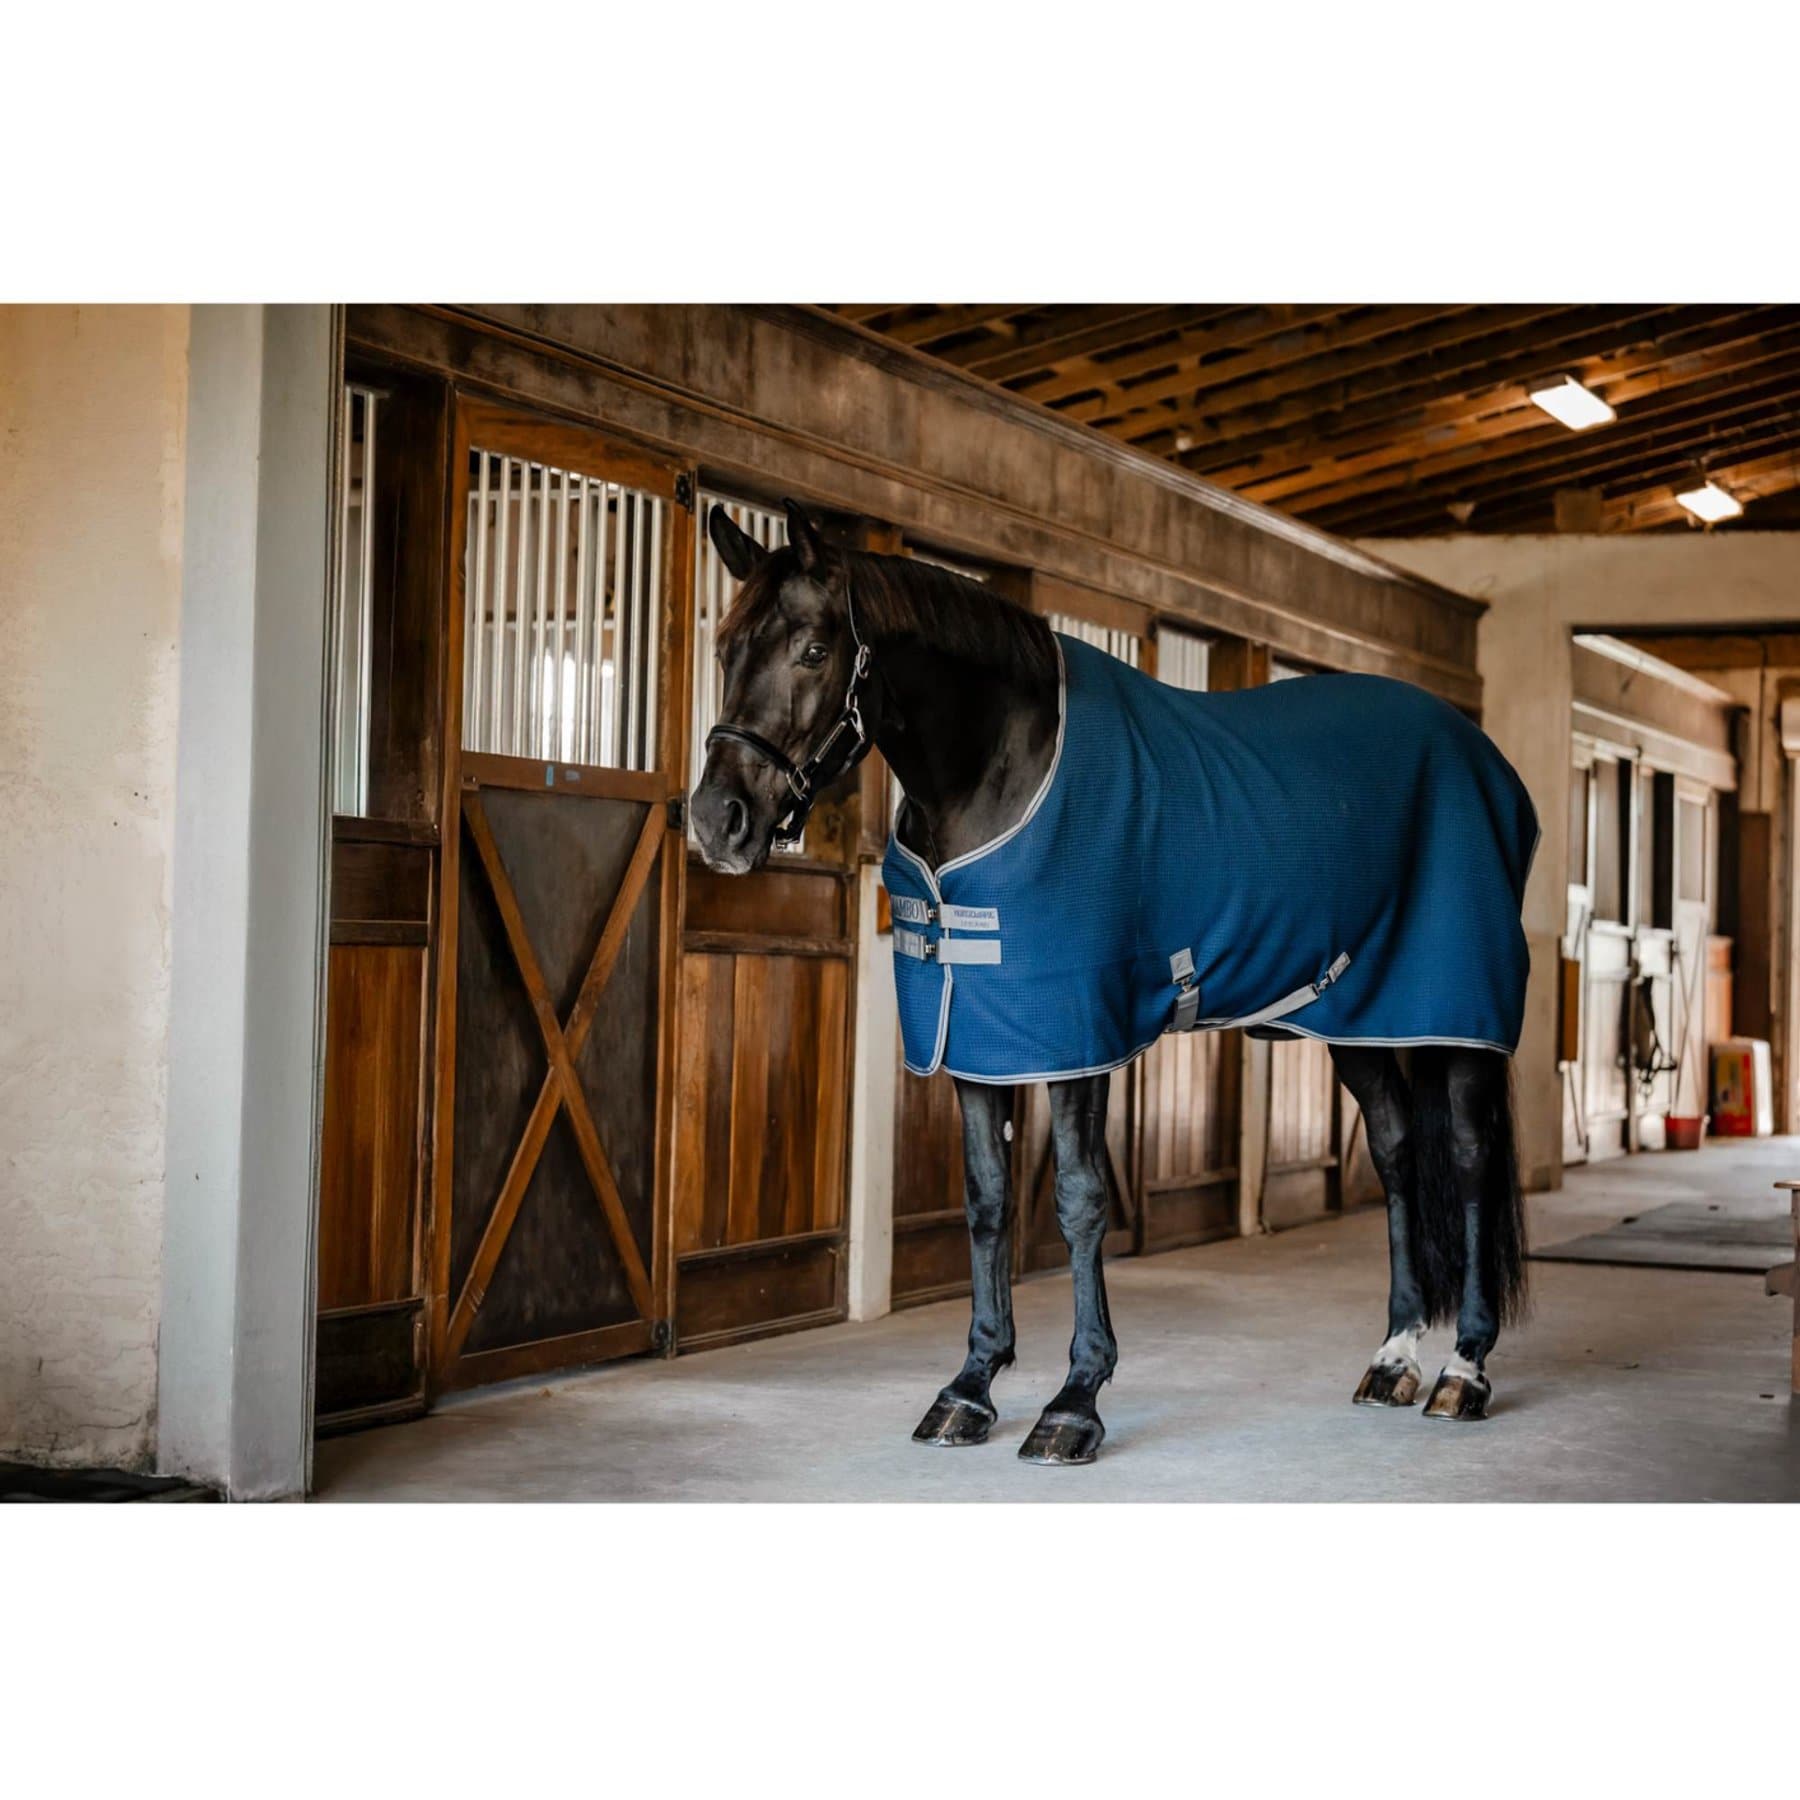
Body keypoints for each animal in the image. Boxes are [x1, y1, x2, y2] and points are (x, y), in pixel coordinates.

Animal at [692, 498, 1534, 1466]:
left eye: (813, 650)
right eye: (725, 648)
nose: (716, 822)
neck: (999, 764)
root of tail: (1480, 753)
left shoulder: (1075, 1037)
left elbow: (1081, 1199)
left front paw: (1074, 1401)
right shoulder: (980, 1037)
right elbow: (988, 1202)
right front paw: (969, 1387)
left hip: (1454, 1015)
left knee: (1467, 1161)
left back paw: (1463, 1371)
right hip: (1356, 1018)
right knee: (1396, 1152)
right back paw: (1394, 1356)